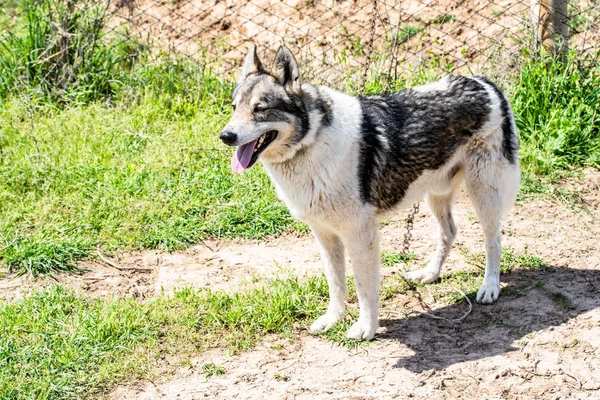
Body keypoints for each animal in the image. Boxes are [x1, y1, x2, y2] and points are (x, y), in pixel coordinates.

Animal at [219, 45, 520, 340]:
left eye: (260, 109)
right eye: (234, 108)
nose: (226, 136)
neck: (310, 142)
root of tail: (483, 82)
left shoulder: (361, 234)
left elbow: (364, 287)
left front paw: (366, 328)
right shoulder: (325, 235)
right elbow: (336, 284)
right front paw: (333, 319)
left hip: (484, 192)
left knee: (493, 240)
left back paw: (490, 287)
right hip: (435, 194)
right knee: (449, 233)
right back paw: (430, 274)